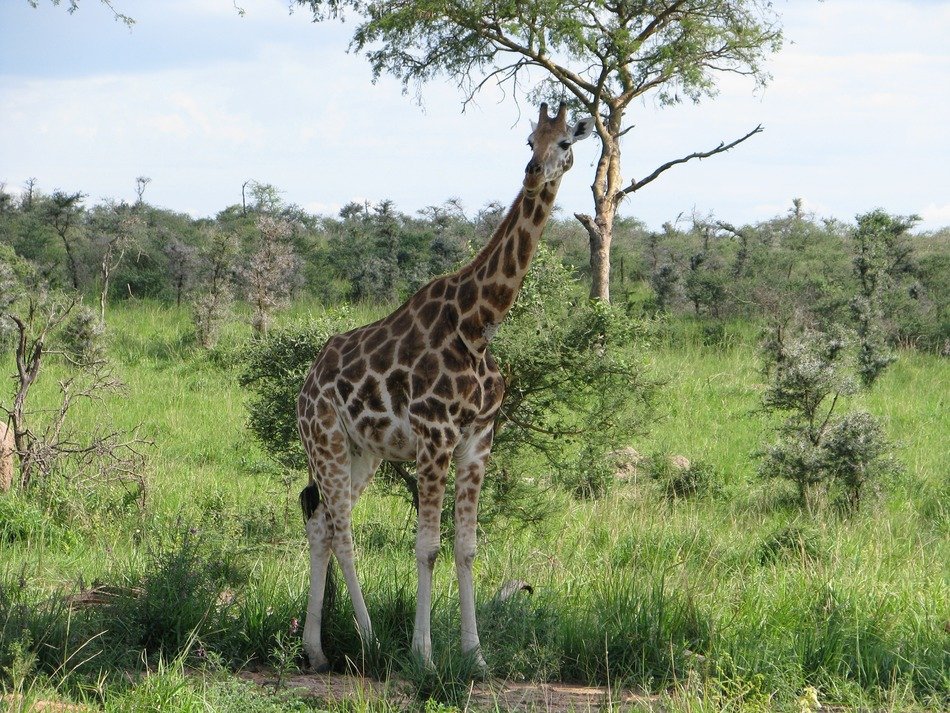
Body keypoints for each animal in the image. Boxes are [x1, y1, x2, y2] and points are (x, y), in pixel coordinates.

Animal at [298, 103, 596, 672]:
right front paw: (424, 657)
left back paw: (316, 650)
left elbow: (466, 547)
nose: (533, 172)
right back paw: (369, 639)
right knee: (342, 530)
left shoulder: (478, 440)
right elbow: (427, 547)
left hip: (362, 452)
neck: (479, 324)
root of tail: (304, 386)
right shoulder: (435, 437)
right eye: (529, 138)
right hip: (324, 440)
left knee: (322, 521)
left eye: (566, 142)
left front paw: (474, 656)